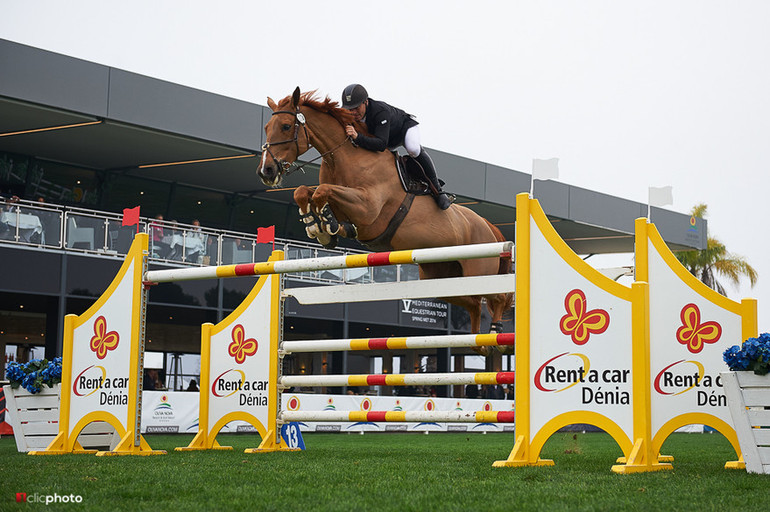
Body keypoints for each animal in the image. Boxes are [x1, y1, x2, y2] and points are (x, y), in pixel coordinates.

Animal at [256, 90, 510, 350]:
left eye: (286, 126)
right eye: (266, 127)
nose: (266, 171)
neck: (344, 159)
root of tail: (490, 227)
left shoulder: (367, 208)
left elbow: (322, 192)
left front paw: (326, 224)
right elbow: (305, 192)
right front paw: (319, 225)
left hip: (479, 272)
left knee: (498, 296)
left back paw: (497, 334)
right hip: (442, 279)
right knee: (473, 303)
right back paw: (479, 342)